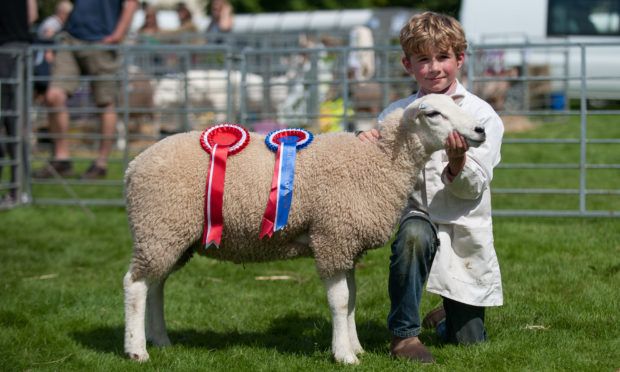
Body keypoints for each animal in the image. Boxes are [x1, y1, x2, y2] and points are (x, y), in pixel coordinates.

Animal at [123, 92, 486, 364]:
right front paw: (344, 356)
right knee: (135, 284)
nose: (481, 129)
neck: (380, 162)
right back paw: (137, 349)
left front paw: (356, 347)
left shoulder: (347, 244)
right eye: (434, 113)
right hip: (160, 225)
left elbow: (352, 299)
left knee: (156, 285)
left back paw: (160, 340)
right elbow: (340, 300)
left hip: (171, 235)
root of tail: (133, 165)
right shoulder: (332, 236)